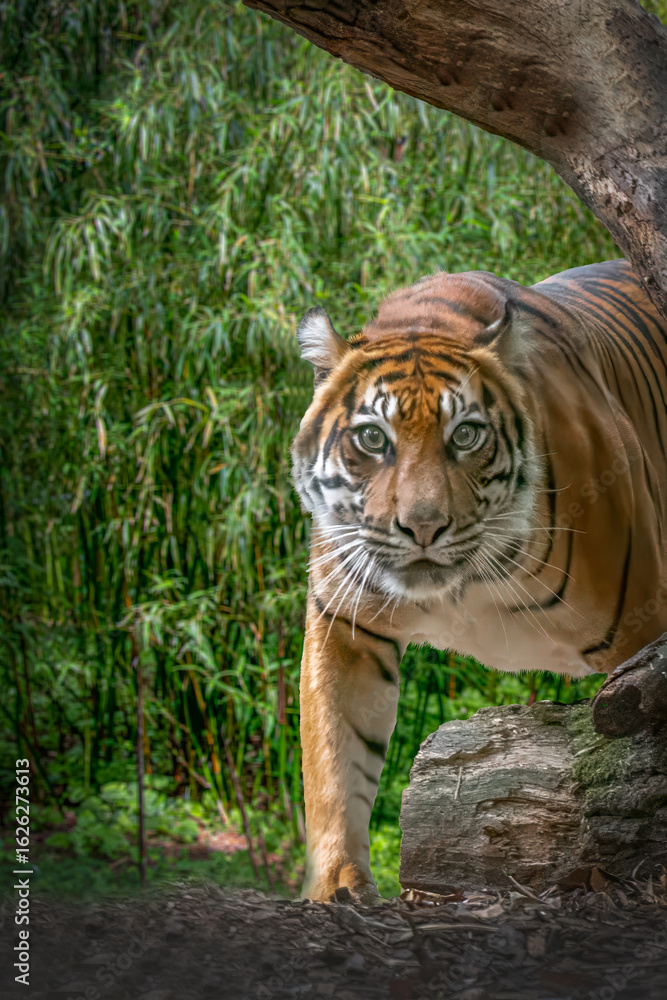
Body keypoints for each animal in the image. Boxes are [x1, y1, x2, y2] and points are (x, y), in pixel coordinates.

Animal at [290, 258, 667, 904]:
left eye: (465, 435)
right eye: (372, 438)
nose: (422, 526)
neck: (463, 589)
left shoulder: (647, 626)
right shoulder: (344, 622)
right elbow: (335, 759)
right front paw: (338, 888)